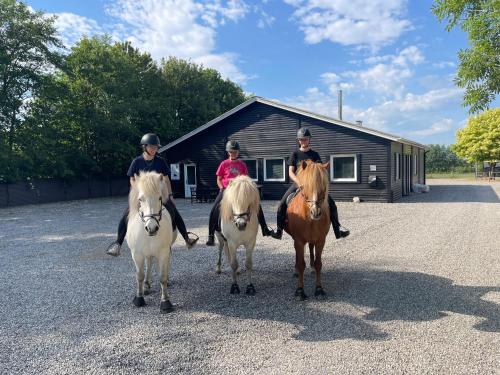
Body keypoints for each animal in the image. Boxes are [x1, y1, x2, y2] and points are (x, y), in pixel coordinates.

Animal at [126, 172, 177, 312]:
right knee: (148, 263)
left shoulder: (163, 252)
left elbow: (162, 277)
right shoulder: (136, 254)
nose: (152, 228)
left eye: (159, 198)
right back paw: (146, 285)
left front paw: (165, 302)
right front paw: (139, 298)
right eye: (140, 199)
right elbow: (139, 275)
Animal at [288, 160, 330, 302]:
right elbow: (301, 264)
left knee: (311, 249)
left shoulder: (321, 241)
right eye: (303, 187)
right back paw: (295, 270)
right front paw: (300, 291)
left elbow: (318, 264)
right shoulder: (299, 241)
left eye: (324, 187)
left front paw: (319, 289)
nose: (315, 212)